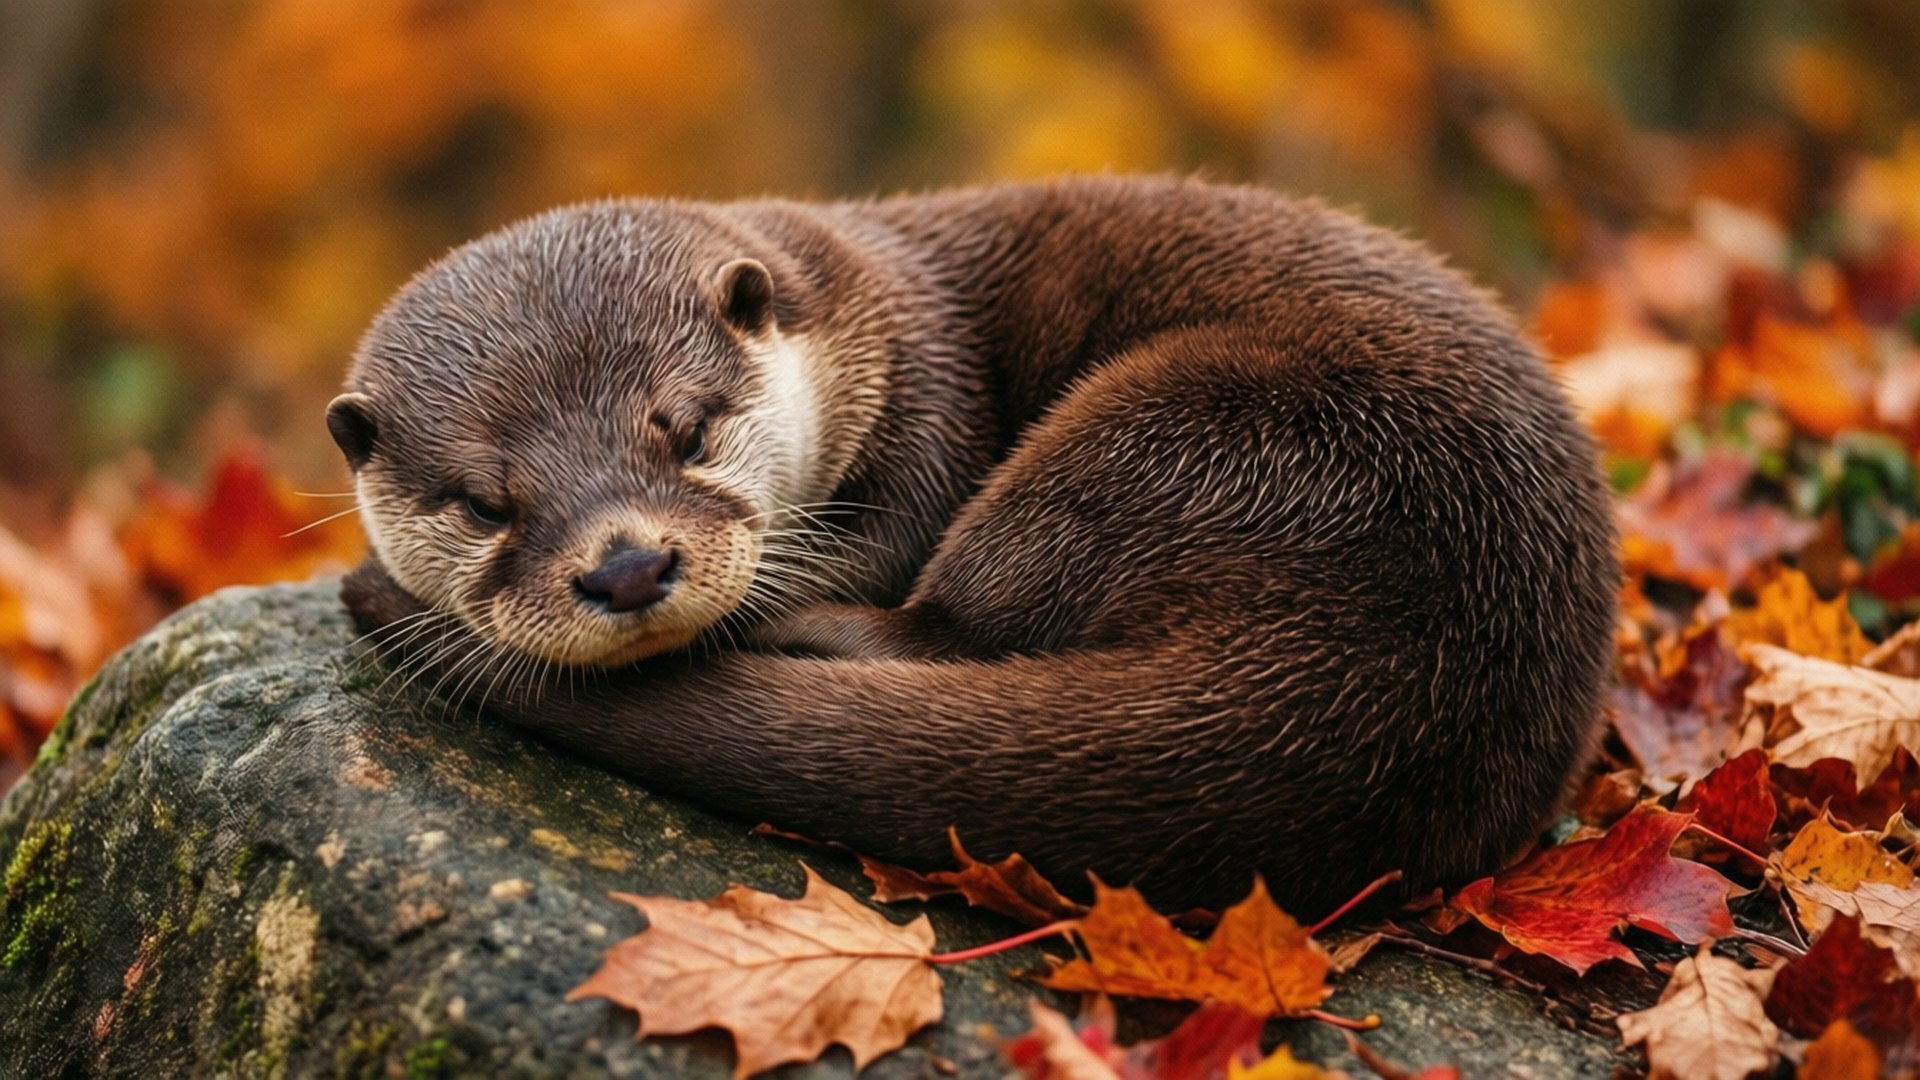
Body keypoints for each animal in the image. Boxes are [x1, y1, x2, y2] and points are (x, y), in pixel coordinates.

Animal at [331, 175, 1617, 917]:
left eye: (687, 429)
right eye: (485, 503)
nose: (627, 567)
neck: (872, 312)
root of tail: (1432, 659)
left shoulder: (934, 403)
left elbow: (889, 538)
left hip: (1180, 423)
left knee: (959, 617)